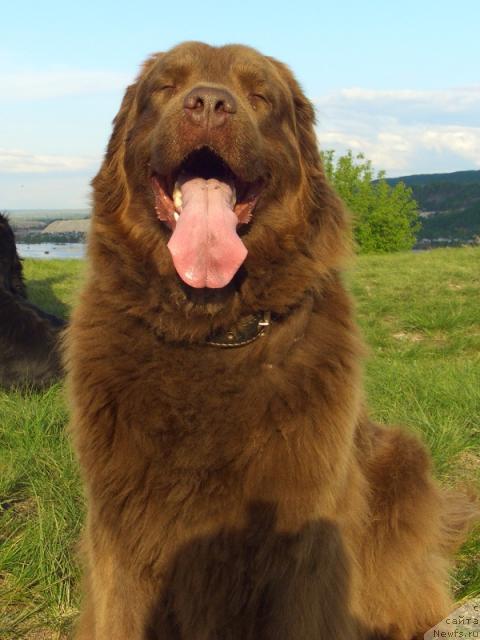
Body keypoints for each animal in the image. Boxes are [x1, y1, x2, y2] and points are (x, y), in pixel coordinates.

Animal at [65, 42, 474, 636]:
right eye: (166, 87)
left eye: (259, 96)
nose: (209, 104)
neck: (212, 336)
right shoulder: (121, 538)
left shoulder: (303, 547)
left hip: (402, 462)